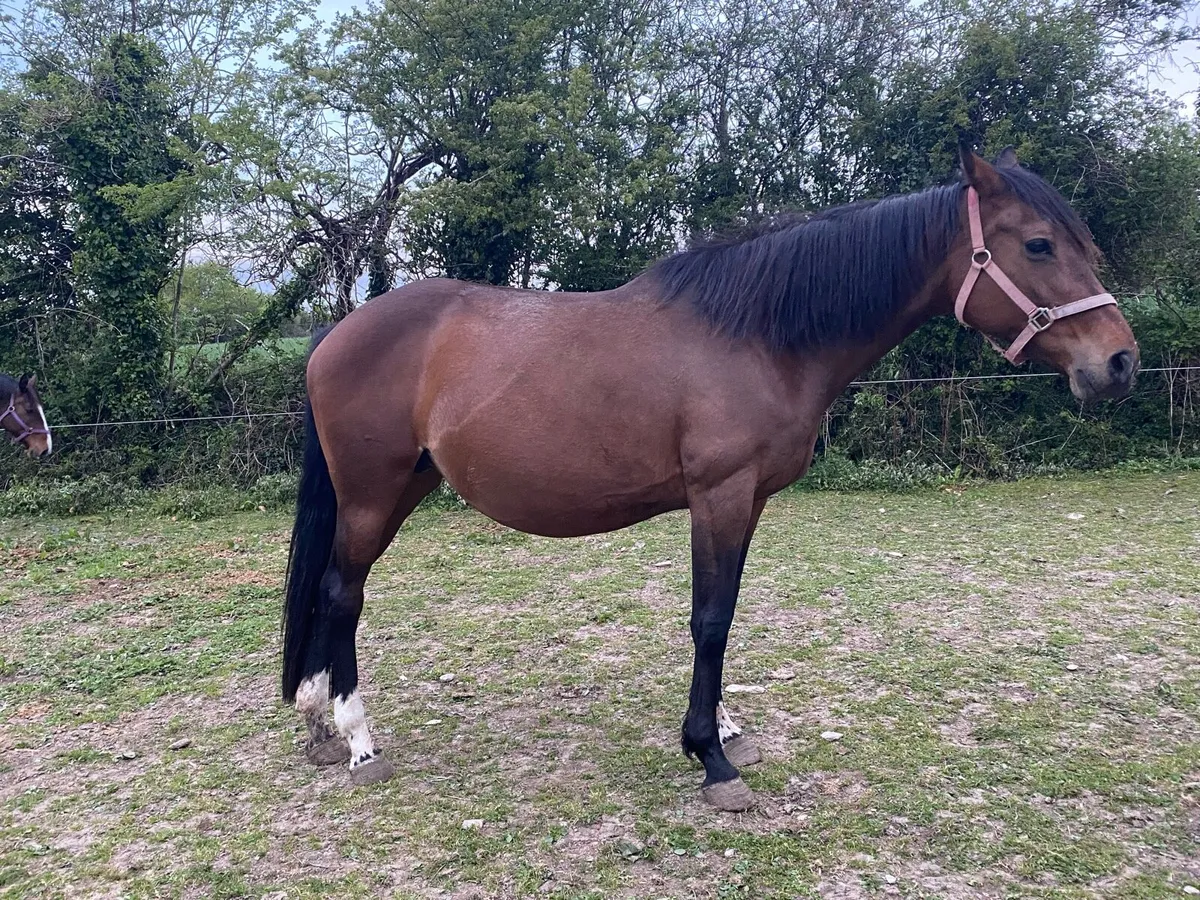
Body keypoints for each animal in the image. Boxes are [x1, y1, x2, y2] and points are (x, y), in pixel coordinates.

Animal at [281, 143, 1138, 811]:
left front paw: (725, 730)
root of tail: (336, 331)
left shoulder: (747, 500)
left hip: (402, 488)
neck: (759, 334)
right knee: (343, 593)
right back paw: (358, 740)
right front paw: (712, 759)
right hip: (371, 494)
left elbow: (724, 613)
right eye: (1038, 245)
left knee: (333, 592)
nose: (1119, 363)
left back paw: (320, 723)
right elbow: (711, 618)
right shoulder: (718, 495)